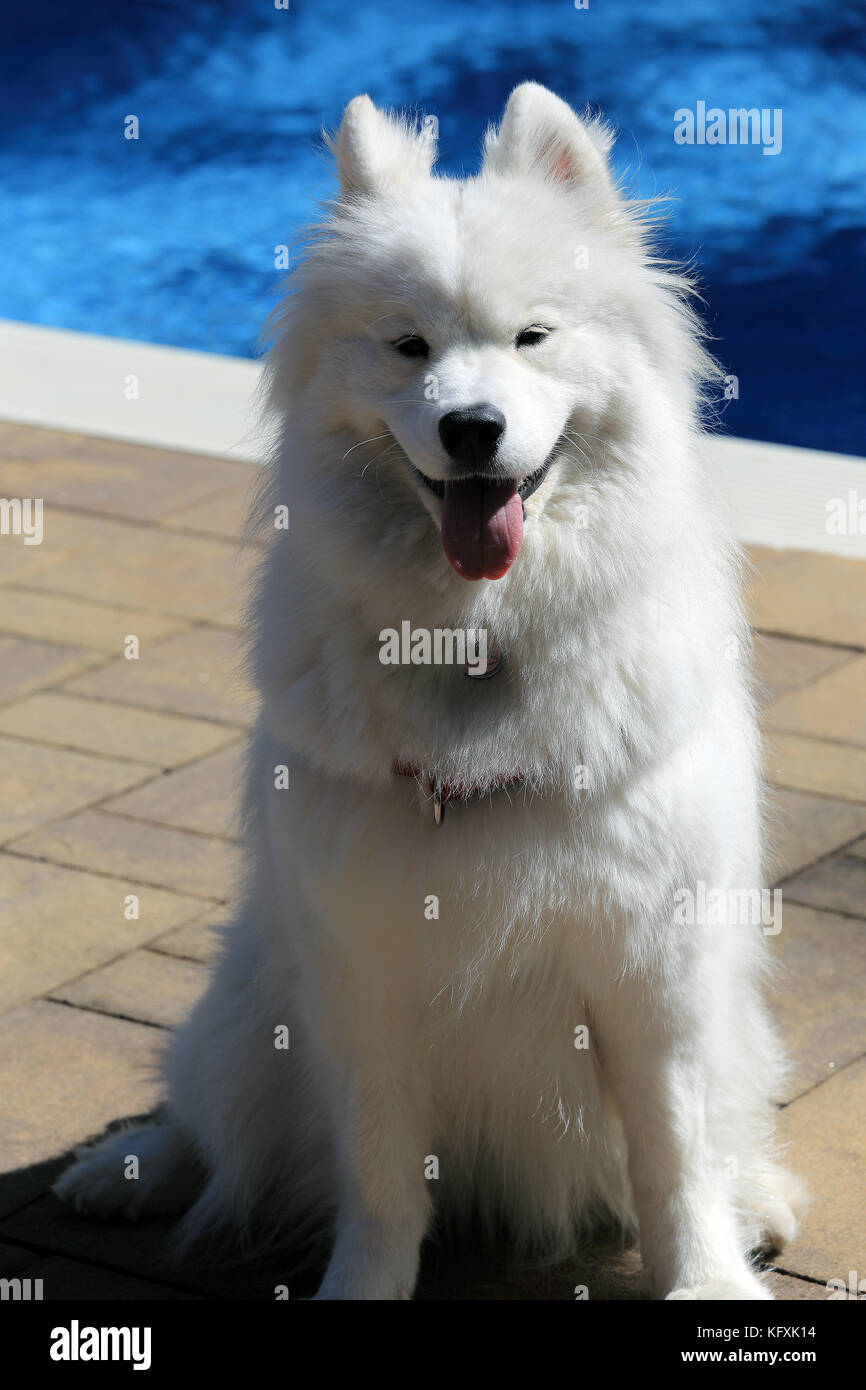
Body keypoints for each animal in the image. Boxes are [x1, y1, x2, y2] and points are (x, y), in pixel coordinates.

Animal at [59, 89, 806, 1301]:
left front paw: (705, 1280)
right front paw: (360, 1289)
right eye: (407, 347)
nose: (471, 428)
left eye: (533, 337)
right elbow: (376, 1179)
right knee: (214, 1113)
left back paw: (762, 1203)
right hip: (253, 993)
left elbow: (674, 1160)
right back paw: (128, 1167)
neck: (474, 646)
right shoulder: (363, 978)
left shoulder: (653, 970)